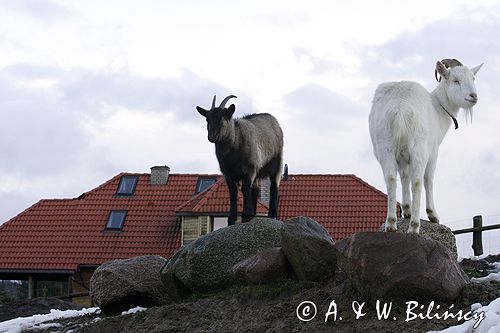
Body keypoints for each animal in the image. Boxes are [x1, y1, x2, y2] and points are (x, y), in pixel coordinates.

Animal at [370, 58, 482, 232]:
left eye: (473, 78)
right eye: (455, 80)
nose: (473, 96)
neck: (439, 107)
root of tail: (399, 107)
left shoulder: (402, 156)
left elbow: (404, 177)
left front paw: (407, 210)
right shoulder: (434, 151)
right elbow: (428, 179)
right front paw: (432, 215)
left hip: (384, 145)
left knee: (390, 178)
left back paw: (391, 223)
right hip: (419, 147)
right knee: (417, 182)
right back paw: (414, 226)